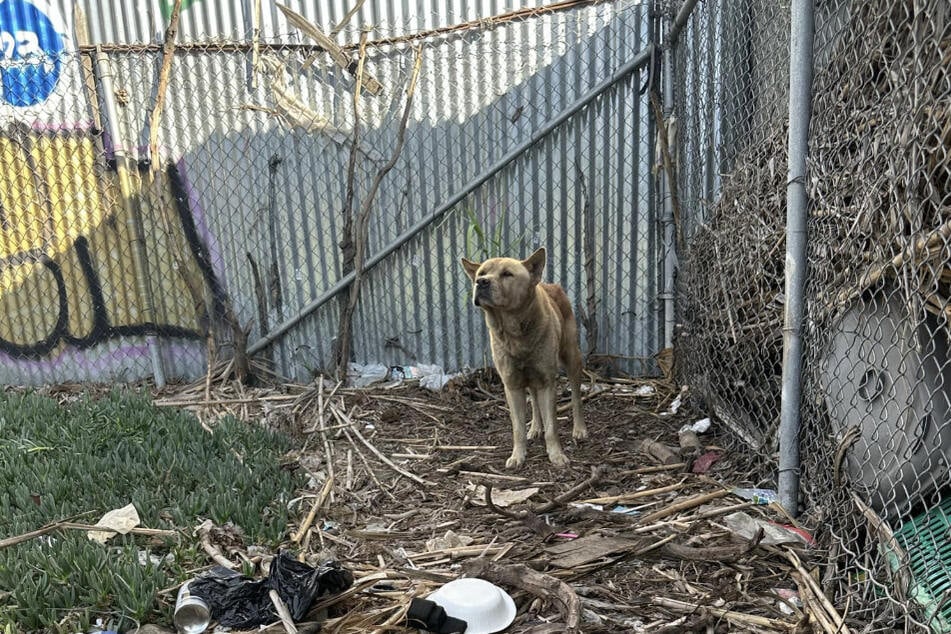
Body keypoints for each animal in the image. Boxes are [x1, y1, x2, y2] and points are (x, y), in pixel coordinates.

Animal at [462, 249, 588, 466]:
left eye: (507, 274)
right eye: (481, 273)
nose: (481, 282)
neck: (515, 333)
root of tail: (551, 284)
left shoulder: (547, 382)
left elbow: (552, 426)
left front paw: (556, 455)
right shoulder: (512, 385)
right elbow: (517, 428)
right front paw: (517, 456)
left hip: (572, 358)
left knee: (576, 397)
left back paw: (579, 429)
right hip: (529, 378)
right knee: (535, 402)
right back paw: (535, 428)